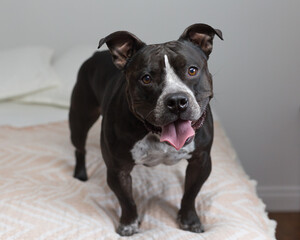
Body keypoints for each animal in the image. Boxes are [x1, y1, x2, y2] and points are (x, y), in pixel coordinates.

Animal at [68, 23, 223, 235]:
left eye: (192, 70)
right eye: (146, 79)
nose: (176, 101)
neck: (155, 134)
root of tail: (95, 55)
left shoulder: (201, 161)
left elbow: (190, 194)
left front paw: (189, 220)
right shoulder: (118, 169)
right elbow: (127, 200)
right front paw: (129, 224)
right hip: (80, 118)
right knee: (80, 147)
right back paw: (80, 174)